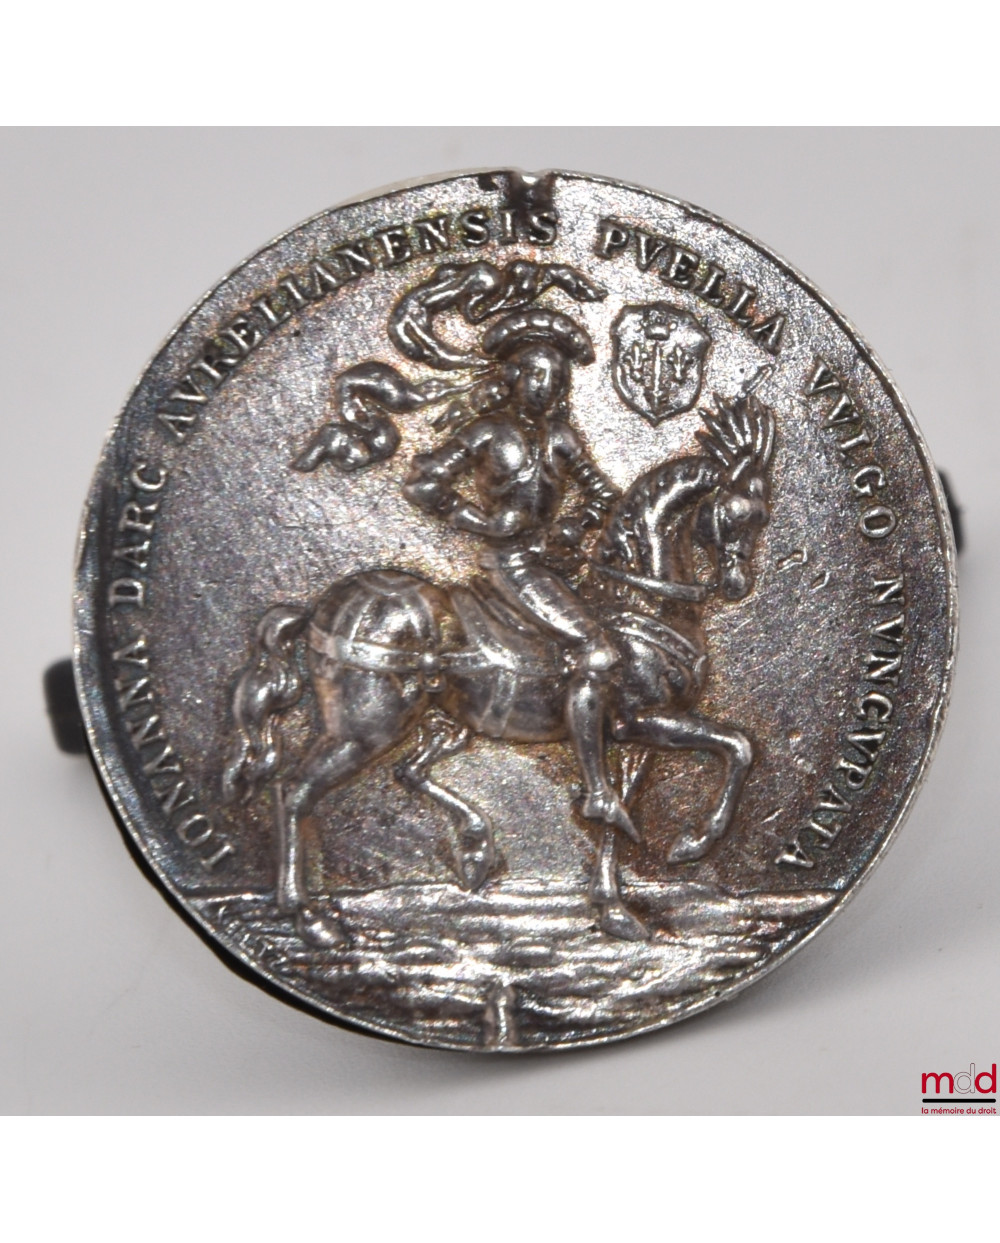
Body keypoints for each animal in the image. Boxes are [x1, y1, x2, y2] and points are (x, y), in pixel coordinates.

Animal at [222, 393, 774, 948]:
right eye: (734, 513)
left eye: (763, 514)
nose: (738, 585)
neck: (640, 600)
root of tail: (320, 607)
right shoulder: (639, 719)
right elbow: (735, 748)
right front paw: (692, 843)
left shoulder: (636, 736)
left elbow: (631, 809)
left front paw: (615, 909)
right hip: (366, 726)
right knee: (294, 792)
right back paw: (310, 918)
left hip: (441, 718)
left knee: (407, 771)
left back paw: (475, 847)